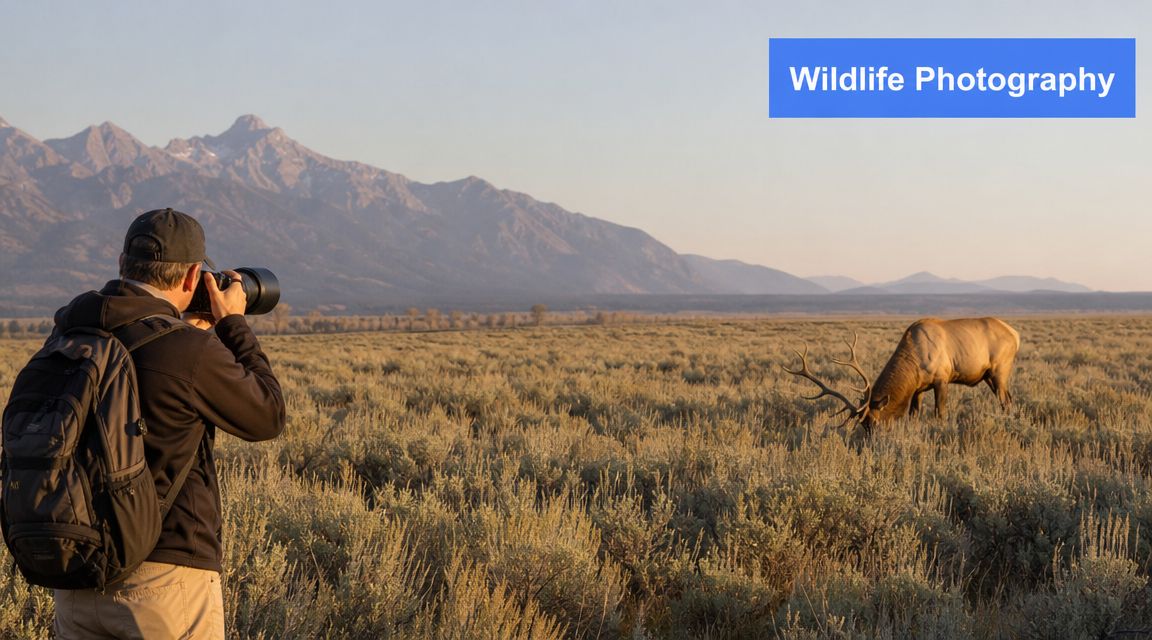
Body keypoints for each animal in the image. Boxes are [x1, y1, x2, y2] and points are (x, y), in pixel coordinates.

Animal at [783, 318, 1021, 432]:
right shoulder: (918, 389)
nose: (870, 444)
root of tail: (1016, 334)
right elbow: (913, 414)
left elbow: (940, 413)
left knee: (1006, 401)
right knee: (1009, 399)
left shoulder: (942, 379)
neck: (915, 359)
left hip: (1000, 370)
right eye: (863, 425)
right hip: (989, 376)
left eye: (875, 422)